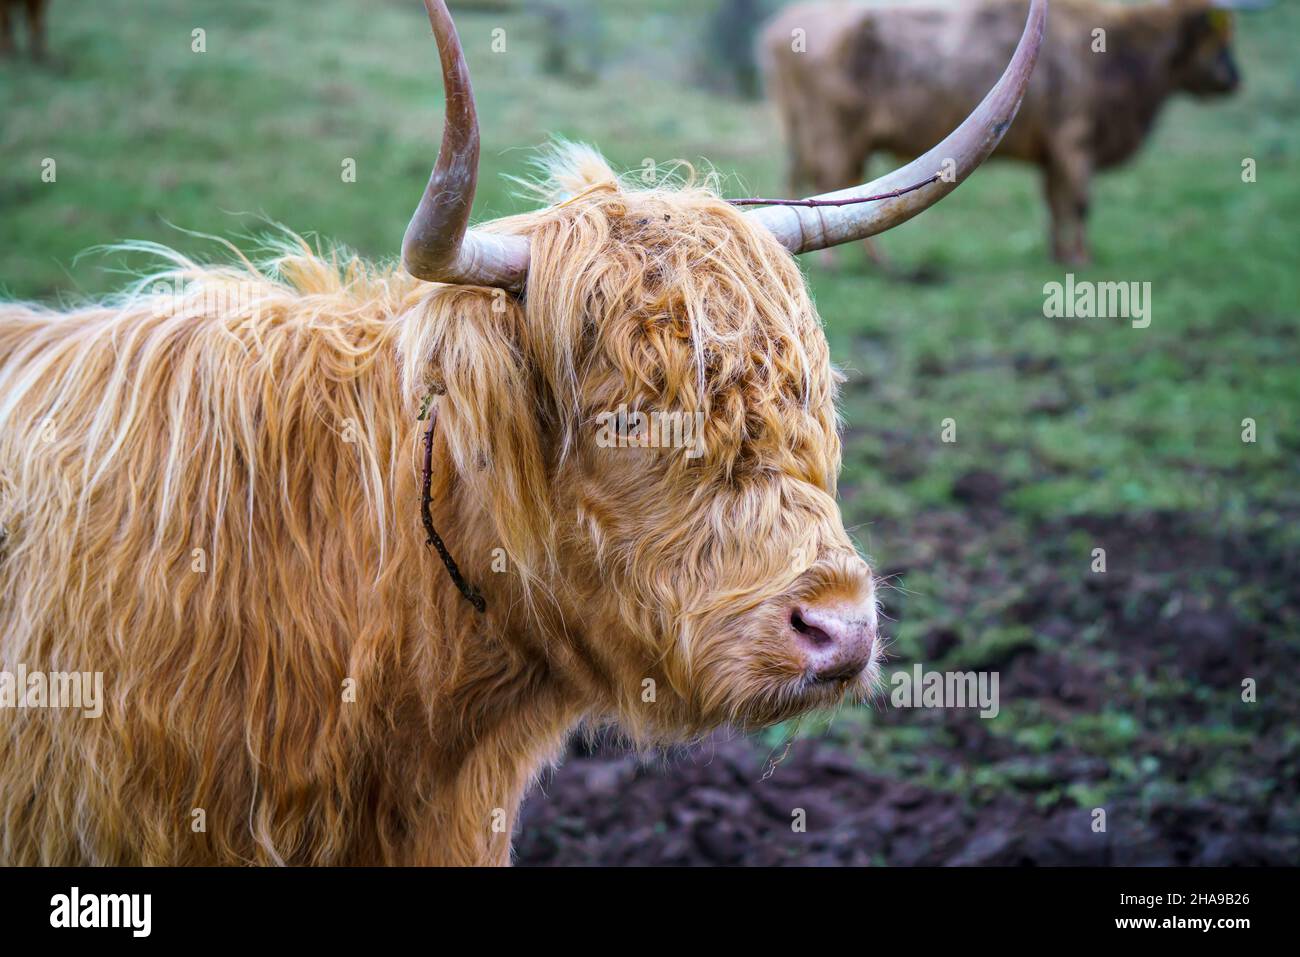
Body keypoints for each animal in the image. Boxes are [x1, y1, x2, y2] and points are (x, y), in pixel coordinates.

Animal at [759, 0, 1248, 263]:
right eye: (1219, 39)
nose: (1234, 79)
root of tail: (781, 27)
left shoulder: (1054, 151)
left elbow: (1054, 202)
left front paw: (1059, 254)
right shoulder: (1075, 138)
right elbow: (1080, 201)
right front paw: (1083, 258)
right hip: (833, 130)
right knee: (831, 182)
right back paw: (848, 261)